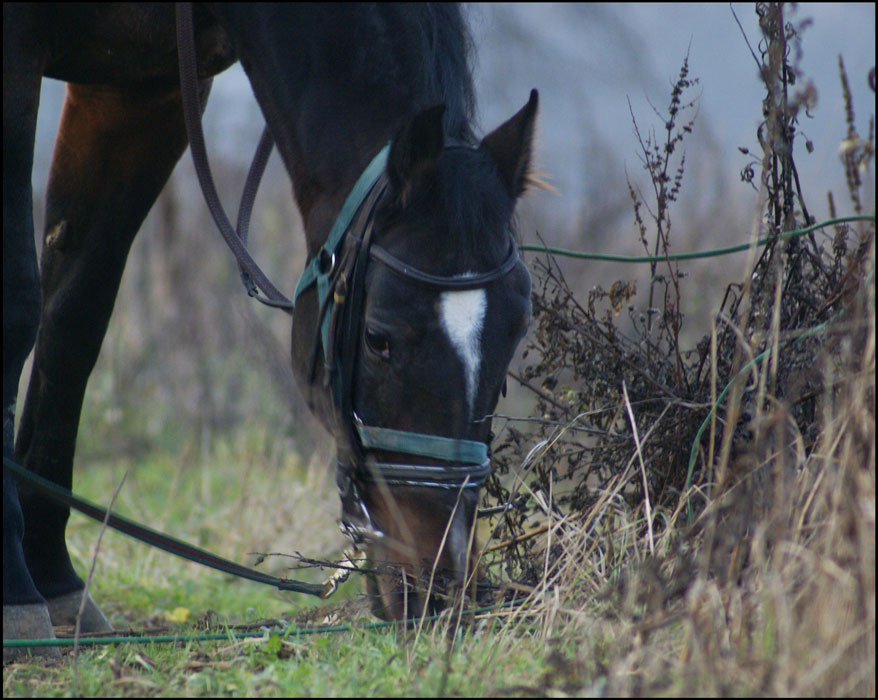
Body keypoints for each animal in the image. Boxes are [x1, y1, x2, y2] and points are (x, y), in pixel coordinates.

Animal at [3, 3, 537, 658]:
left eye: (515, 332)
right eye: (378, 338)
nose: (439, 587)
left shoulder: (143, 89)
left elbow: (75, 319)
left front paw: (53, 576)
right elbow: (18, 308)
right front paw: (16, 588)